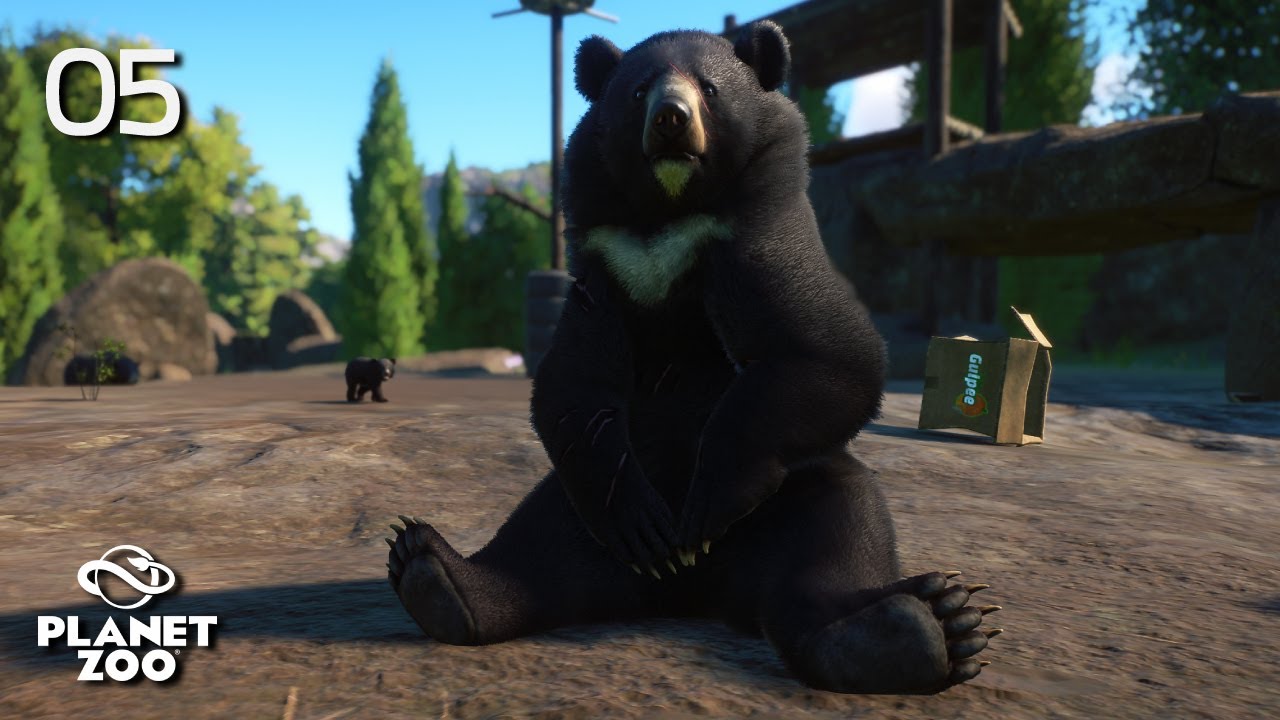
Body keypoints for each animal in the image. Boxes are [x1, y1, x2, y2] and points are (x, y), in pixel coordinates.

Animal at [386, 21, 1000, 695]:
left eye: (708, 87)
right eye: (637, 92)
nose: (671, 120)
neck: (670, 217)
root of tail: (701, 594)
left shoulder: (755, 231)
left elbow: (826, 352)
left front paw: (708, 500)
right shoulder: (605, 264)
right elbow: (574, 382)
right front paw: (645, 522)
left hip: (803, 493)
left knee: (838, 535)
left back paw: (912, 627)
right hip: (577, 508)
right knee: (538, 545)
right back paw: (436, 574)